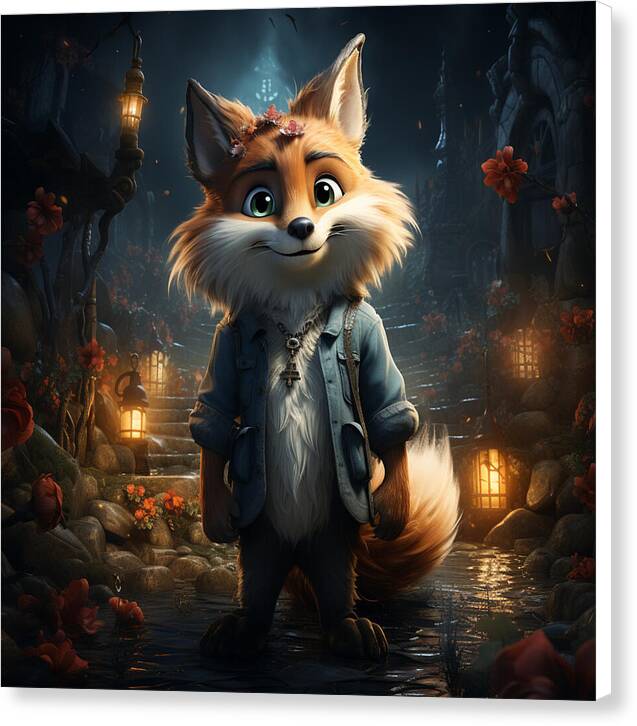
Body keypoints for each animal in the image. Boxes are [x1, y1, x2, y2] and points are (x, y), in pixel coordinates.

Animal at [169, 34, 459, 660]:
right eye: (260, 202)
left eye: (325, 192)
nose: (302, 227)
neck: (296, 312)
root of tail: (297, 552)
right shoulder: (228, 343)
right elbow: (213, 419)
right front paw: (215, 518)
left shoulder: (369, 336)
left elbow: (386, 409)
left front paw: (394, 509)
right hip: (262, 537)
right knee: (257, 581)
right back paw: (243, 630)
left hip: (333, 533)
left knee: (334, 581)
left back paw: (348, 628)